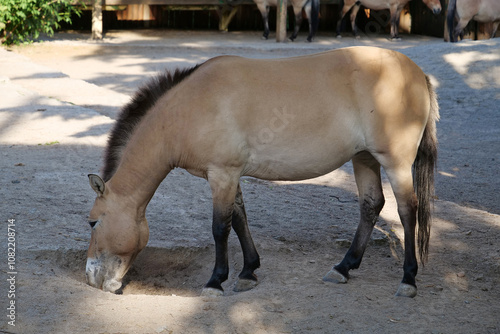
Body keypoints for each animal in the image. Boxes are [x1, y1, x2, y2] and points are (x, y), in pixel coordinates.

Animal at [85, 46, 438, 298]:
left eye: (93, 222)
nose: (90, 278)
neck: (188, 109)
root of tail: (418, 73)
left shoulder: (222, 174)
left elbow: (220, 228)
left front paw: (216, 281)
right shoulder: (229, 176)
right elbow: (240, 219)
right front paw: (248, 272)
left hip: (394, 162)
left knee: (407, 211)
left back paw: (408, 279)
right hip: (364, 158)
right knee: (371, 205)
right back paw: (343, 268)